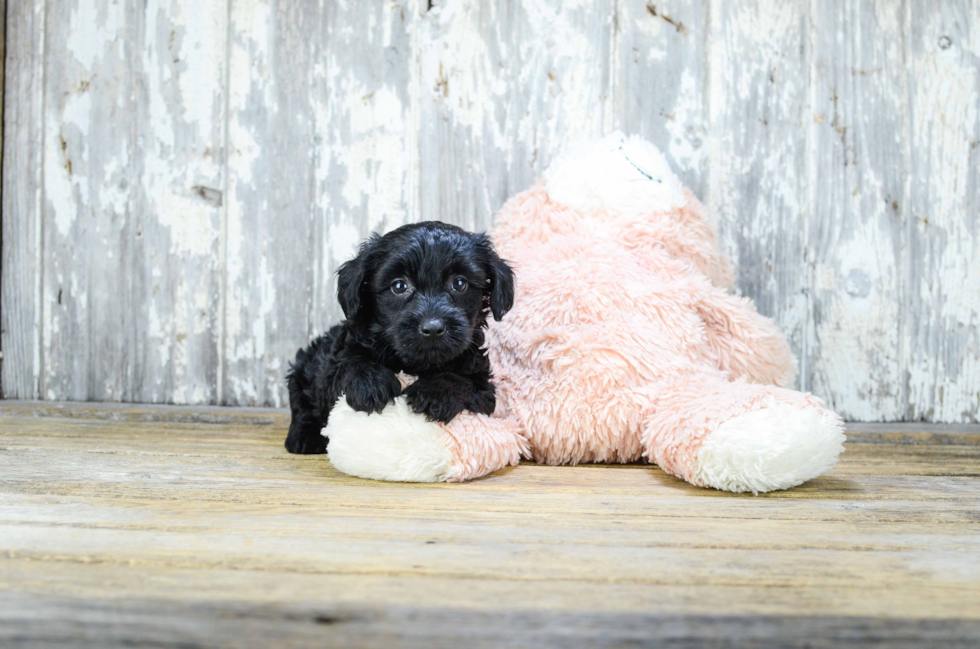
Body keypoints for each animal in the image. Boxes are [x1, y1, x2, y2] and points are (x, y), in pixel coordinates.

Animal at [282, 223, 512, 456]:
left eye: (459, 283)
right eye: (399, 286)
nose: (433, 328)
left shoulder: (483, 387)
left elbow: (464, 380)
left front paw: (435, 392)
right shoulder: (331, 370)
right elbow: (346, 364)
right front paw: (370, 382)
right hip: (305, 366)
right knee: (300, 401)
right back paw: (304, 436)